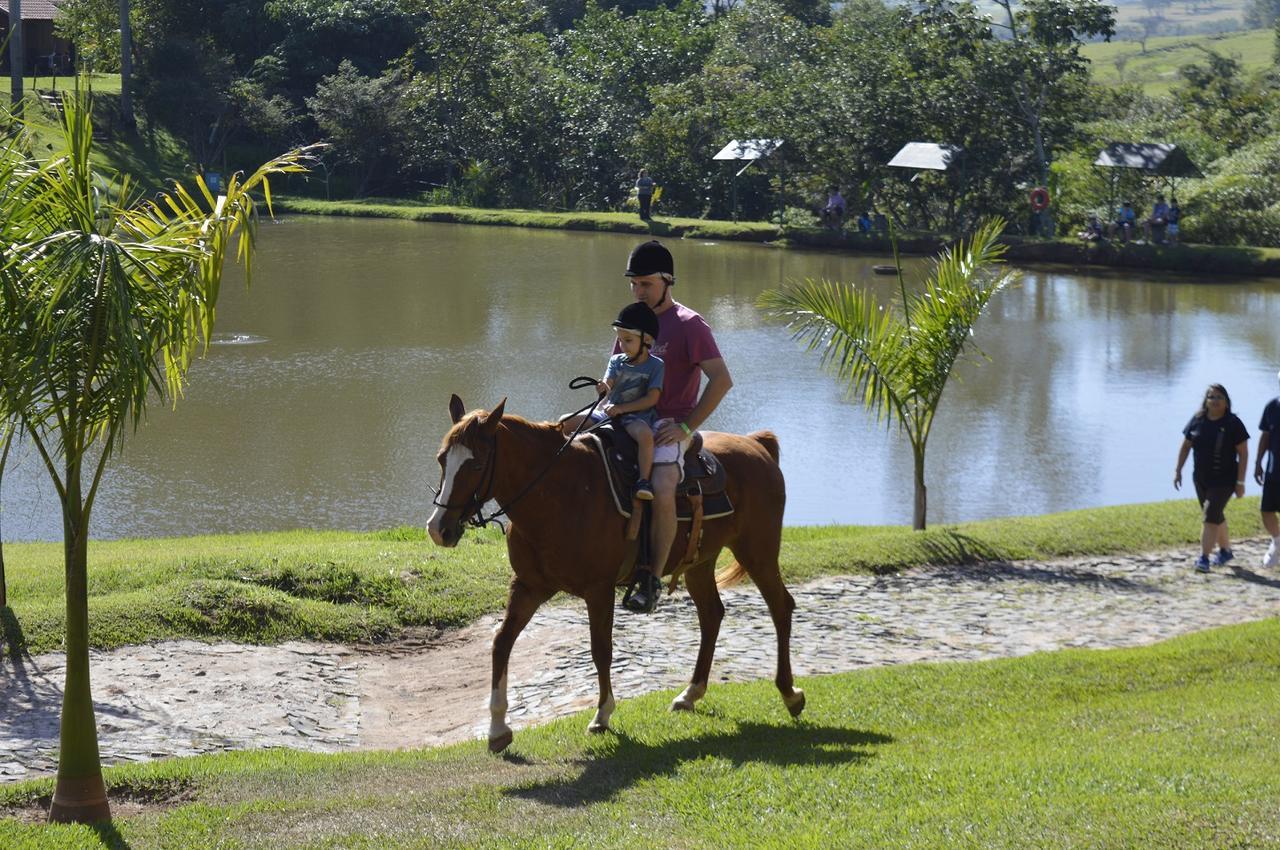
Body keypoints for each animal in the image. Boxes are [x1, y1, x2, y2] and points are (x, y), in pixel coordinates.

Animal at [424, 394, 803, 752]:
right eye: (442, 459)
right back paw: (690, 694)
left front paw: (602, 715)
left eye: (476, 463)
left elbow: (601, 649)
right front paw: (498, 728)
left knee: (781, 607)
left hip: (758, 552)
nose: (438, 528)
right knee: (712, 615)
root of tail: (756, 444)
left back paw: (790, 693)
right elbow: (501, 643)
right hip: (700, 563)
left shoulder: (599, 590)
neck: (560, 494)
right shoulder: (528, 586)